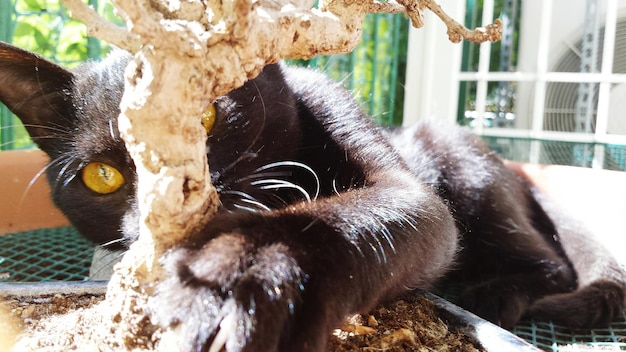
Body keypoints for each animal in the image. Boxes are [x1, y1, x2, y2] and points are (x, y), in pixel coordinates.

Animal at [0, 42, 620, 352]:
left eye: (204, 116)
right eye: (101, 176)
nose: (160, 214)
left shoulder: (403, 185)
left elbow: (342, 217)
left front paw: (236, 281)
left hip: (461, 163)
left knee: (552, 265)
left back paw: (494, 294)